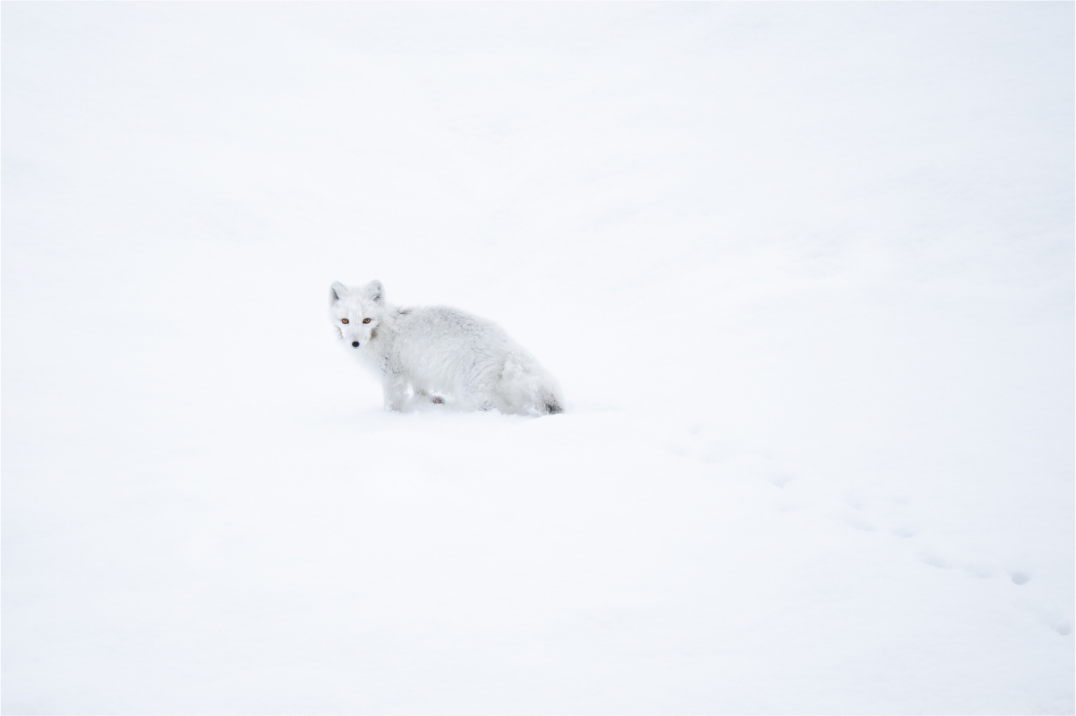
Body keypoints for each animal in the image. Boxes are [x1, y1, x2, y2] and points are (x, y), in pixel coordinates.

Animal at [329, 280, 564, 415]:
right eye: (345, 321)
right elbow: (420, 389)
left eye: (366, 320)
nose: (355, 343)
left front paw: (390, 418)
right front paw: (429, 401)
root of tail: (504, 341)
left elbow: (392, 401)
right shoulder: (416, 370)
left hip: (472, 393)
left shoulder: (392, 375)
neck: (384, 328)